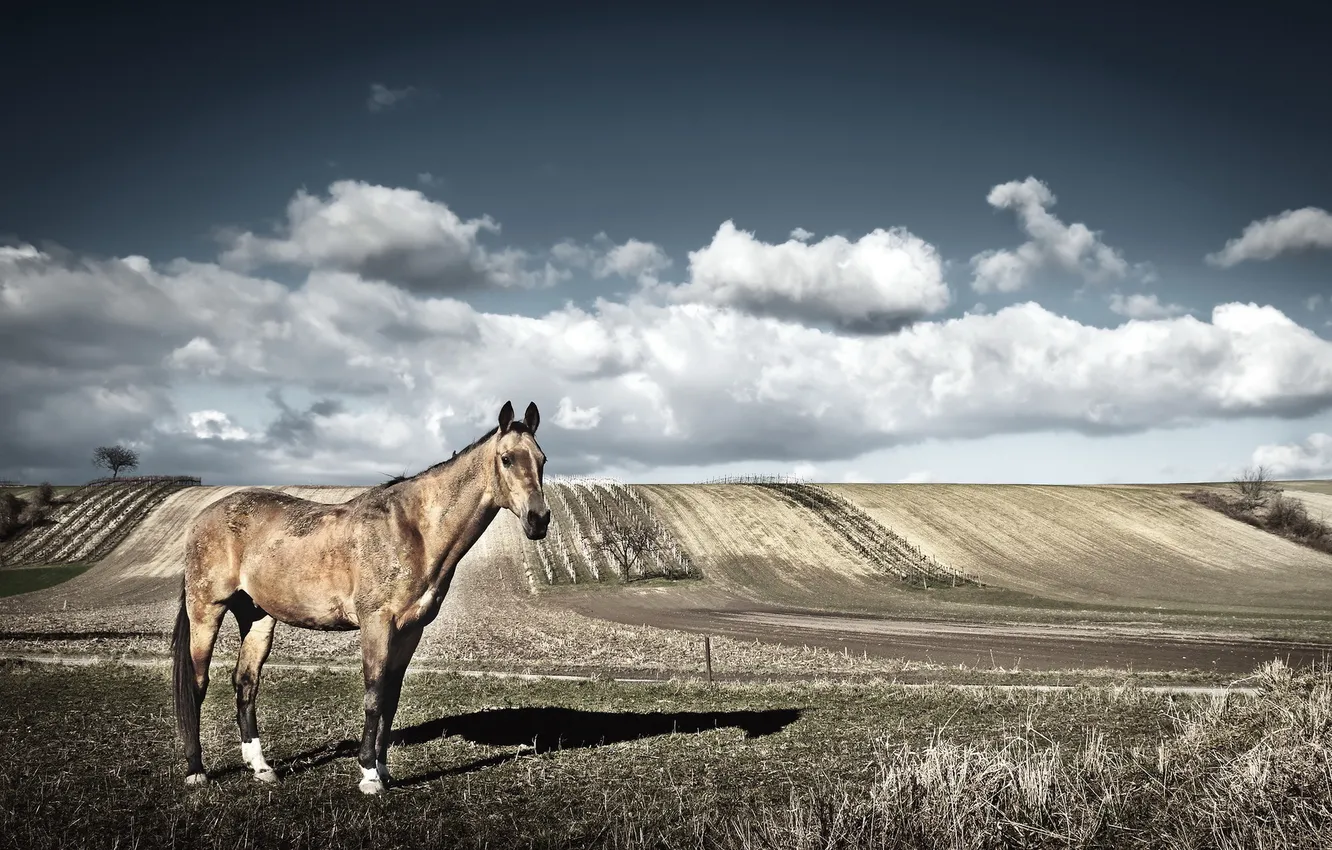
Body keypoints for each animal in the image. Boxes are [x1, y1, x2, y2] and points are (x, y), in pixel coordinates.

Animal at [171, 400, 550, 794]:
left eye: (542, 459)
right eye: (507, 459)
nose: (539, 520)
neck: (413, 531)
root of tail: (203, 517)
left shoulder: (410, 629)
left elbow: (390, 699)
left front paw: (383, 770)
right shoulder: (376, 623)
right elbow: (373, 695)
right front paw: (369, 774)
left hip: (257, 617)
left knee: (246, 683)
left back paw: (261, 768)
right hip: (206, 610)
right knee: (197, 684)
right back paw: (196, 771)